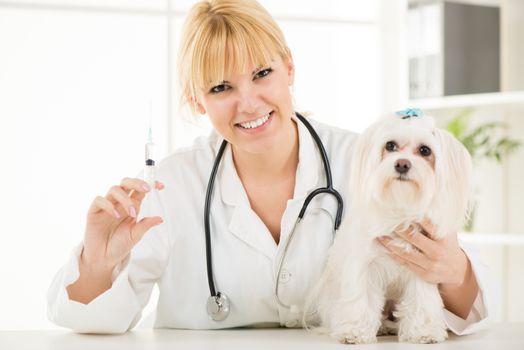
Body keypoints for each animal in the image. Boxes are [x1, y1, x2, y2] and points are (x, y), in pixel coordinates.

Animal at [302, 111, 470, 344]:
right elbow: (361, 298)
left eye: (425, 150)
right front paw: (354, 331)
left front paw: (423, 331)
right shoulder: (365, 265)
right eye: (390, 145)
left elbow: (422, 299)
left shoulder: (423, 266)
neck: (399, 208)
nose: (402, 164)